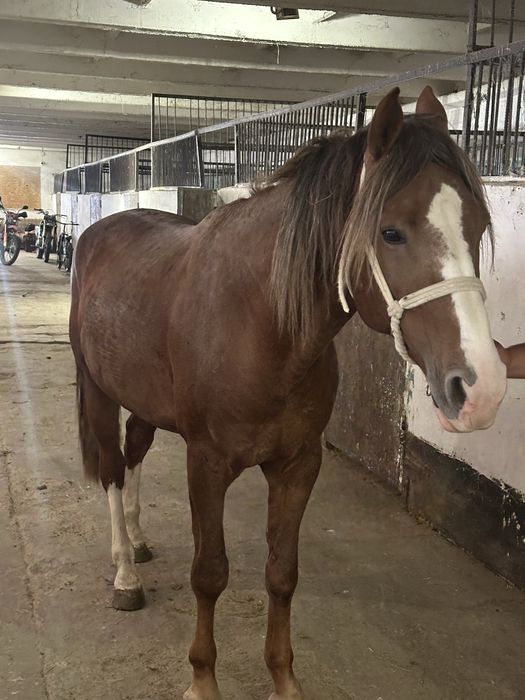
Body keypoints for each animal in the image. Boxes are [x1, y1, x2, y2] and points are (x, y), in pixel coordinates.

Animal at [69, 86, 507, 700]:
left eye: (477, 224)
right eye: (391, 232)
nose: (482, 386)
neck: (259, 325)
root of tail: (98, 231)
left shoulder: (298, 465)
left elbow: (282, 573)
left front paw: (284, 679)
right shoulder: (206, 464)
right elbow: (210, 573)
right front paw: (202, 679)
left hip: (145, 400)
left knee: (133, 454)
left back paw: (137, 541)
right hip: (100, 391)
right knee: (111, 468)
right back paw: (125, 574)